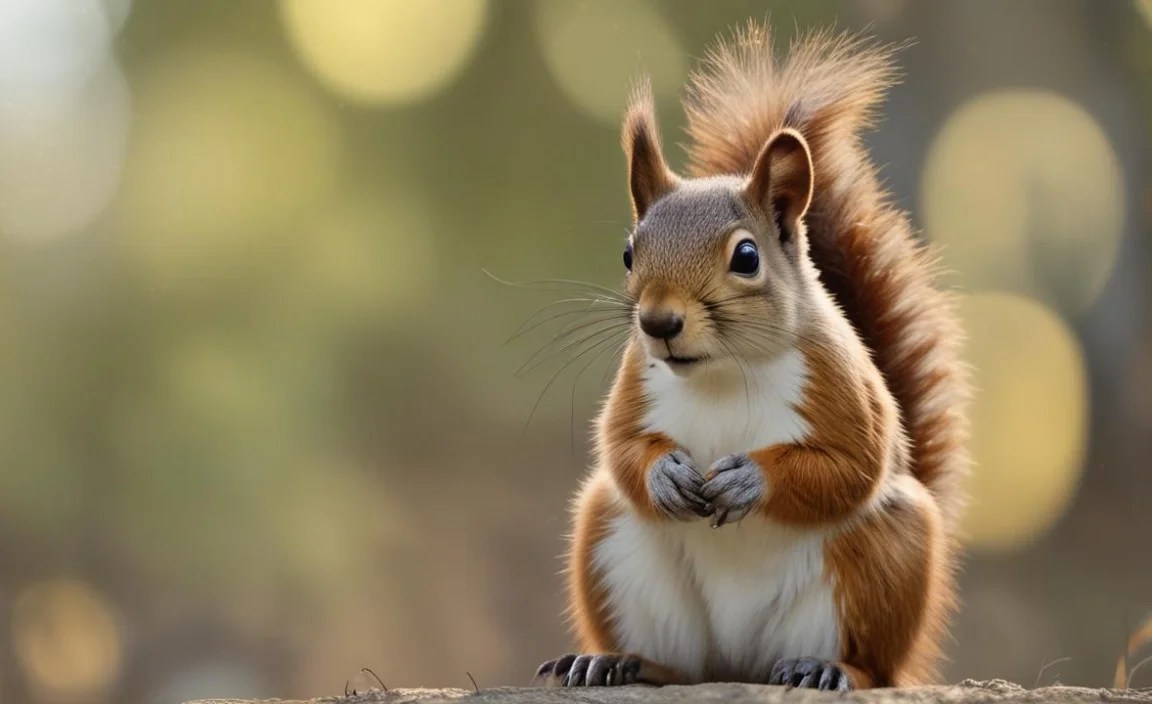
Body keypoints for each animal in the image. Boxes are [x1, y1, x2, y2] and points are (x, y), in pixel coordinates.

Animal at [533, 22, 970, 692]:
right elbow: (620, 447)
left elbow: (850, 467)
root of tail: (739, 661)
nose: (658, 323)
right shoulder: (636, 381)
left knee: (876, 665)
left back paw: (829, 668)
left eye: (746, 257)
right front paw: (663, 475)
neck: (720, 371)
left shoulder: (840, 383)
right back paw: (620, 661)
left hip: (883, 556)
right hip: (610, 535)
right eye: (629, 253)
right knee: (677, 665)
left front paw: (749, 479)